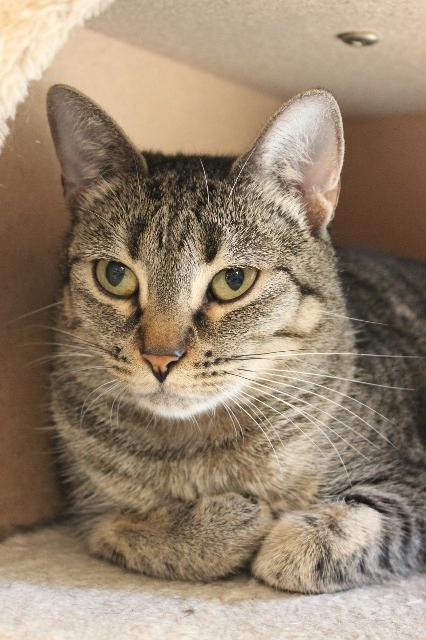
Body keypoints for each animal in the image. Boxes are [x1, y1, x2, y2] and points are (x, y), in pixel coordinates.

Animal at [46, 84, 425, 593]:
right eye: (114, 275)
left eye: (234, 280)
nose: (160, 358)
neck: (197, 451)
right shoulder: (87, 510)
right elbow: (129, 532)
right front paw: (229, 521)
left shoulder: (411, 480)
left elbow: (311, 542)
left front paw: (283, 534)